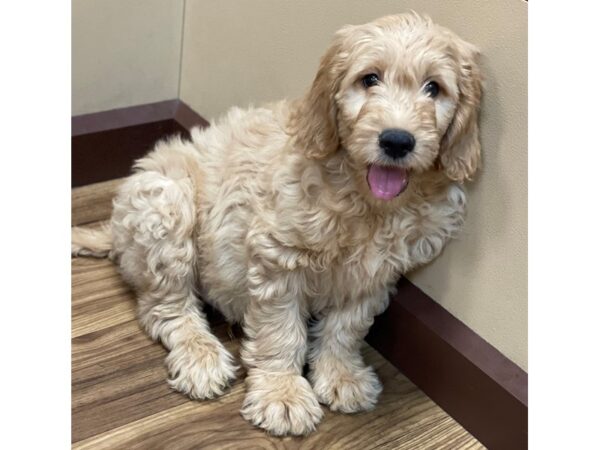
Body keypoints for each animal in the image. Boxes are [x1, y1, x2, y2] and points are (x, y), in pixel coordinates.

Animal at [71, 13, 482, 436]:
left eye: (434, 88)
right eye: (369, 79)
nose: (397, 141)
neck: (364, 201)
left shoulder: (375, 273)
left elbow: (347, 327)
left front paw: (341, 375)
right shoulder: (280, 258)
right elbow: (280, 332)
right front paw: (281, 393)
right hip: (165, 206)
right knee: (165, 308)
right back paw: (200, 355)